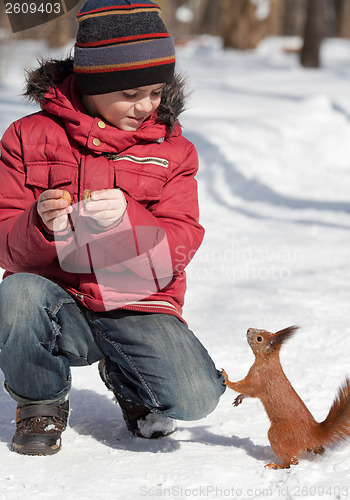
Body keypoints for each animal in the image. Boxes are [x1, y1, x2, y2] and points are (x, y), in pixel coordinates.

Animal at [221, 326, 350, 470]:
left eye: (259, 338)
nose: (248, 329)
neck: (267, 360)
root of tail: (313, 433)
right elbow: (247, 393)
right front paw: (239, 398)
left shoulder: (259, 378)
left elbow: (246, 387)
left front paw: (227, 378)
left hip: (278, 435)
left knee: (292, 463)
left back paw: (276, 465)